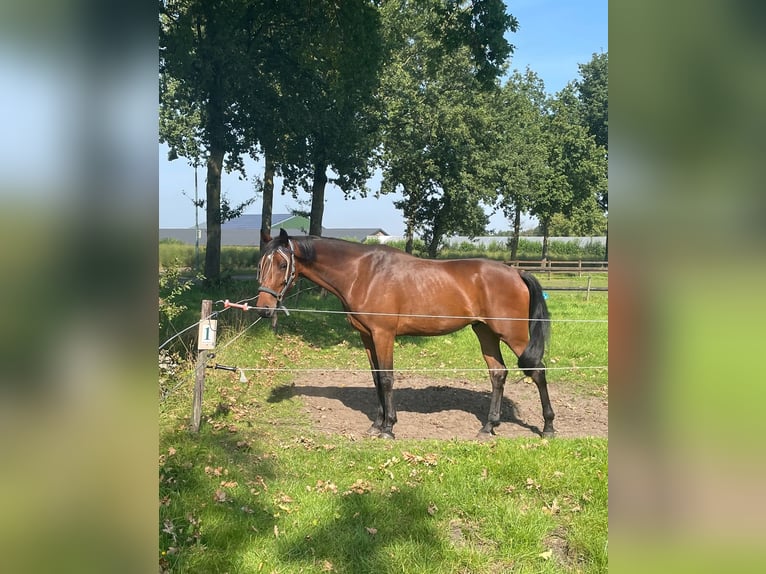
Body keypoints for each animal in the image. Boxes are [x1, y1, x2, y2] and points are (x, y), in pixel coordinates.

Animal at [255, 230, 556, 440]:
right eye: (261, 264)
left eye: (282, 265)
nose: (264, 309)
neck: (362, 273)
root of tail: (516, 272)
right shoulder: (367, 337)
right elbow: (376, 378)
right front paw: (376, 425)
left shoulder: (384, 334)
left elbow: (387, 379)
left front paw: (388, 428)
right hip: (485, 332)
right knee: (498, 373)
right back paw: (488, 427)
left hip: (513, 335)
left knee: (537, 371)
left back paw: (548, 427)